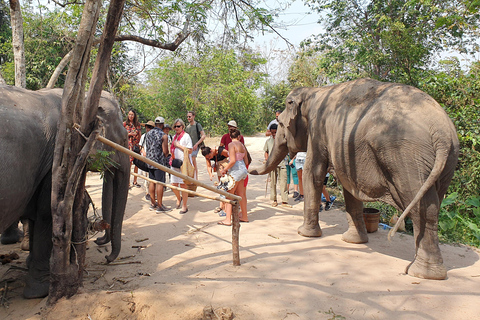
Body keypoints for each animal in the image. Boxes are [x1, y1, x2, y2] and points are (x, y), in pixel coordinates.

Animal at [0, 85, 129, 298]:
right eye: (123, 139)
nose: (107, 257)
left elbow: (37, 217)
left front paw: (30, 267)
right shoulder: (57, 159)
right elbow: (47, 214)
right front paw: (41, 291)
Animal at [249, 78, 460, 280]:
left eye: (281, 124)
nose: (250, 166)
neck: (314, 91)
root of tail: (441, 132)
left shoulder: (318, 132)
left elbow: (313, 173)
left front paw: (304, 233)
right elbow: (350, 186)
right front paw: (352, 241)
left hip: (406, 157)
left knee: (421, 207)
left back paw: (421, 273)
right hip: (447, 161)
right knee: (433, 207)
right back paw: (428, 271)